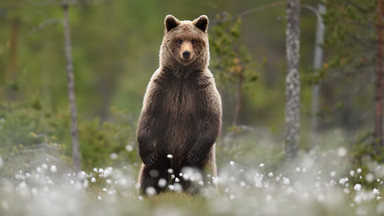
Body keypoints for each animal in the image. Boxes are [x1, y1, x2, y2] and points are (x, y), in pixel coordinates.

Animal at [137, 14, 222, 195]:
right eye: (180, 39)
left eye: (194, 40)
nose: (186, 53)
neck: (182, 76)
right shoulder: (162, 87)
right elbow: (150, 114)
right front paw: (146, 153)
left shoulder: (201, 88)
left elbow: (210, 117)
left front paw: (193, 154)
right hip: (161, 154)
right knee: (151, 177)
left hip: (202, 164)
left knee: (202, 181)